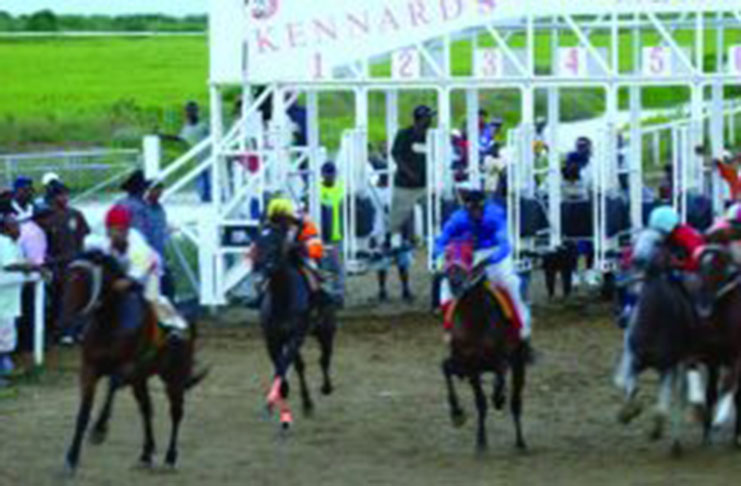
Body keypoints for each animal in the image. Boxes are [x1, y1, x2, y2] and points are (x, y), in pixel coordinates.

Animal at [60, 252, 205, 472]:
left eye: (82, 279)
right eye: (66, 278)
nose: (64, 319)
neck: (110, 321)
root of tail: (187, 325)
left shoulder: (127, 367)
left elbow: (112, 386)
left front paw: (99, 430)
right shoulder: (89, 369)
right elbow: (83, 413)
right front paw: (71, 458)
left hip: (174, 377)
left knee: (176, 412)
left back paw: (170, 457)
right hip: (141, 380)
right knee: (146, 409)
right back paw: (146, 453)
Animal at [440, 239, 528, 452]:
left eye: (469, 254)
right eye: (447, 255)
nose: (455, 282)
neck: (476, 320)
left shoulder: (501, 359)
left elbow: (500, 377)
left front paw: (498, 398)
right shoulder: (469, 364)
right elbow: (479, 401)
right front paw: (462, 419)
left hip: (519, 362)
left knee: (516, 401)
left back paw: (520, 441)